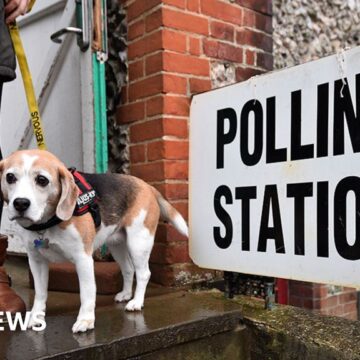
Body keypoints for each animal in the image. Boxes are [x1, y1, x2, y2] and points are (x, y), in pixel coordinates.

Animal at [0, 149, 190, 332]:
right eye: (10, 177)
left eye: (42, 180)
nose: (20, 203)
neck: (47, 223)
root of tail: (147, 186)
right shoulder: (36, 261)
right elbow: (40, 293)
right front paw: (36, 317)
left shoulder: (83, 259)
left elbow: (87, 293)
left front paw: (85, 321)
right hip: (117, 244)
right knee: (128, 269)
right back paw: (126, 294)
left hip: (139, 242)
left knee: (144, 273)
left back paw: (136, 302)